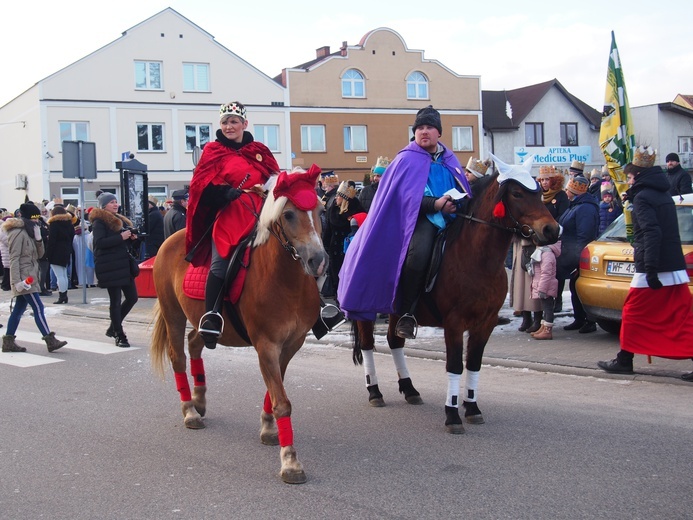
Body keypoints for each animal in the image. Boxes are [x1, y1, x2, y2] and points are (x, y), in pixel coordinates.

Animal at [149, 171, 328, 484]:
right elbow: (281, 399)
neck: (285, 282)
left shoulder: (291, 344)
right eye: (289, 214)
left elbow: (275, 389)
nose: (318, 261)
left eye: (320, 211)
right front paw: (290, 461)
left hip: (204, 320)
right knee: (178, 357)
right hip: (173, 314)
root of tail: (172, 239)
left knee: (195, 342)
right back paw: (189, 411)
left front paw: (269, 428)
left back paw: (199, 400)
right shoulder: (266, 345)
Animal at [354, 172, 560, 434]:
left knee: (394, 341)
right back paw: (374, 392)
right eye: (517, 193)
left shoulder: (485, 323)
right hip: (364, 309)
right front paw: (452, 415)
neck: (478, 260)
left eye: (539, 192)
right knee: (368, 345)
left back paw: (410, 389)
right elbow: (454, 366)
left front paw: (472, 408)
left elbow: (473, 364)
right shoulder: (454, 323)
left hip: (395, 311)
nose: (552, 229)